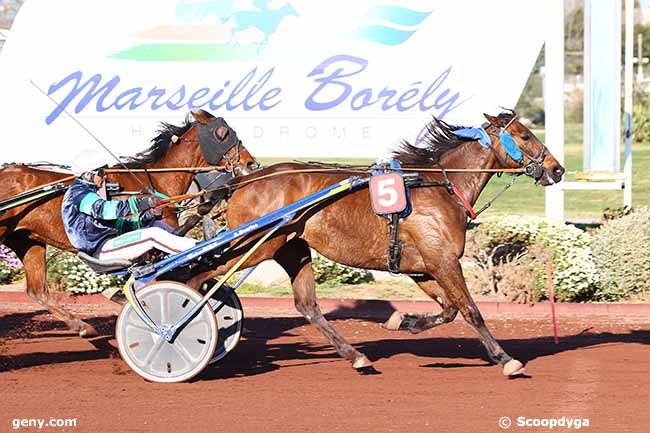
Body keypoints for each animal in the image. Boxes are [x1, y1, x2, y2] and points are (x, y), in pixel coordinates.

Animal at [0, 109, 258, 338]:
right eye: (223, 133)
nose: (251, 164)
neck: (153, 182)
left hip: (28, 241)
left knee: (38, 290)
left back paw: (82, 326)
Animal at [187, 111, 560, 374]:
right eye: (525, 135)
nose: (557, 169)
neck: (438, 187)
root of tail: (245, 179)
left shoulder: (423, 268)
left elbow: (450, 309)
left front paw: (404, 321)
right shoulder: (442, 261)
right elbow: (470, 310)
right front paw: (505, 359)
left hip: (292, 248)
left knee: (308, 306)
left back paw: (356, 356)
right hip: (256, 245)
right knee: (199, 273)